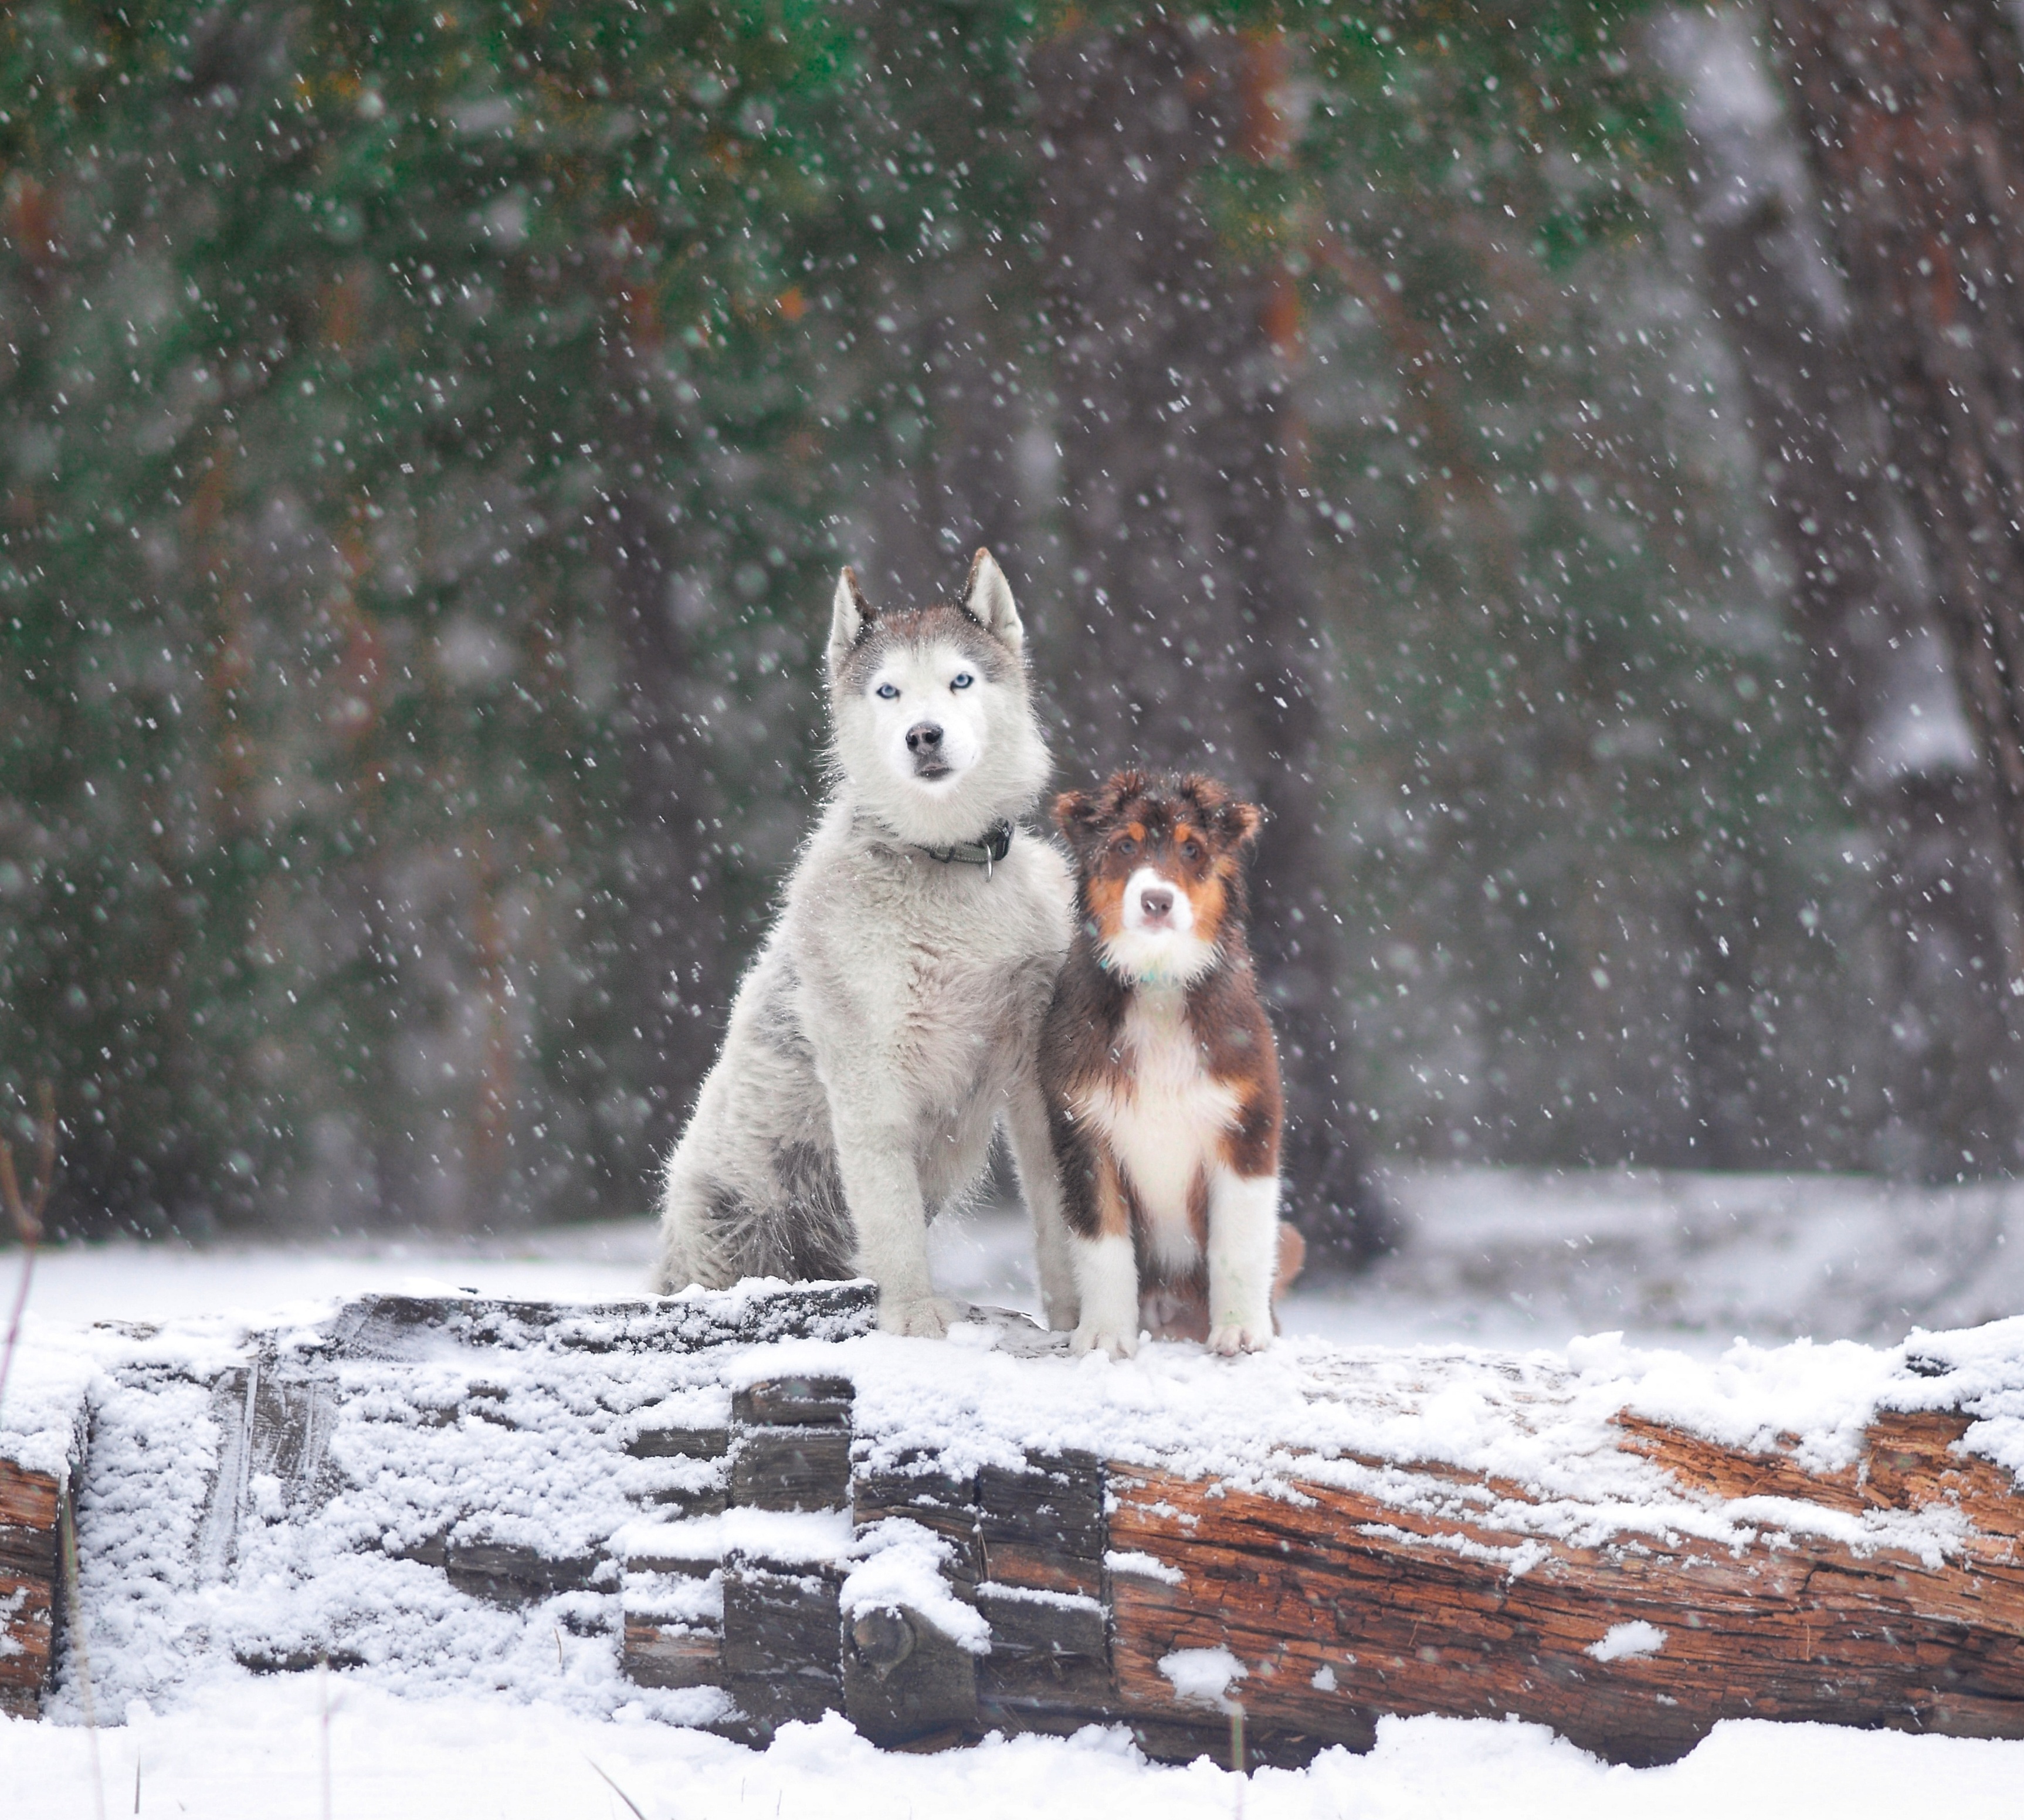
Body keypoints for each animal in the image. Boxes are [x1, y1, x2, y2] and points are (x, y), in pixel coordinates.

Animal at [1044, 769, 1295, 1352]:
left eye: (1191, 848)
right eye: (1124, 845)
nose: (1157, 900)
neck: (1157, 982)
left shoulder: (1249, 1121)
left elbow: (1240, 1240)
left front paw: (1240, 1330)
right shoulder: (1081, 1133)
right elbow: (1103, 1245)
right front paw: (1105, 1335)